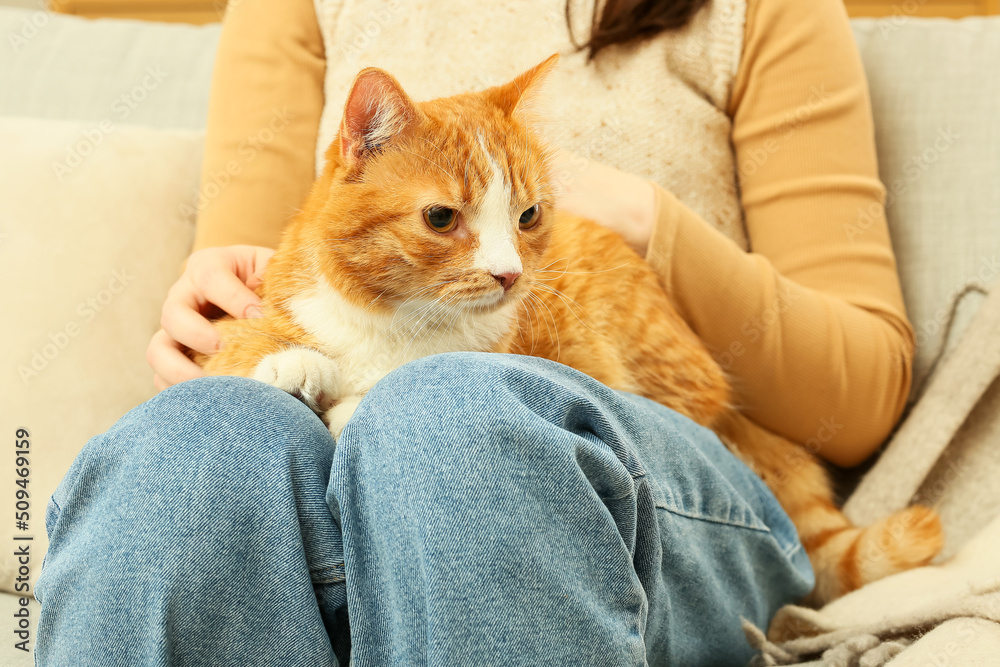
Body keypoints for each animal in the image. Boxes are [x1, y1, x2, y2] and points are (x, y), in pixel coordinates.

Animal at [197, 56, 944, 604]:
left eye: (527, 215)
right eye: (441, 219)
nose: (508, 276)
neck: (397, 321)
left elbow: (394, 384)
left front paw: (355, 398)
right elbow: (251, 345)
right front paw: (294, 363)